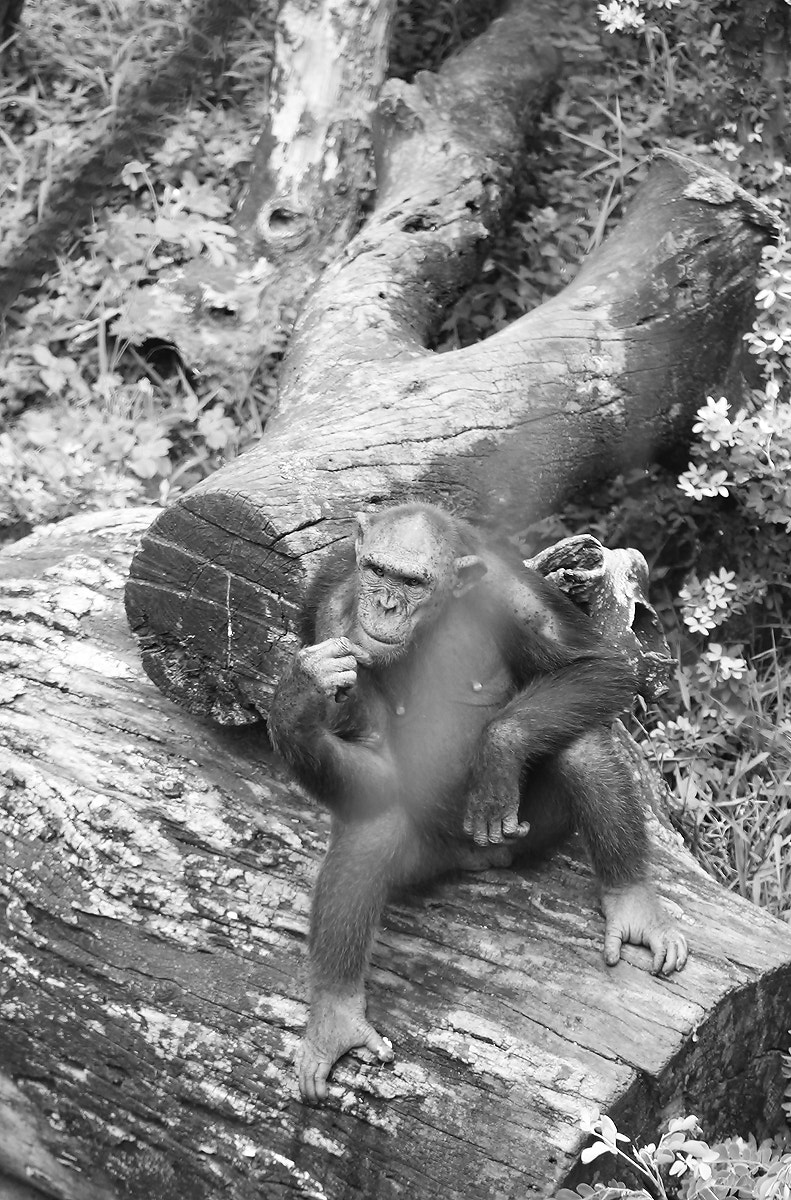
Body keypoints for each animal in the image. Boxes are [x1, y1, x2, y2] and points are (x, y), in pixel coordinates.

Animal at [267, 503, 687, 1103]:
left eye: (412, 582)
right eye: (375, 570)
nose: (385, 604)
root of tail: (472, 857)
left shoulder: (514, 594)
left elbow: (597, 665)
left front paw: (498, 750)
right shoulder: (334, 619)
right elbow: (377, 764)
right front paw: (299, 698)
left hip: (532, 829)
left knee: (583, 743)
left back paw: (632, 902)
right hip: (423, 852)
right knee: (372, 827)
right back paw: (337, 1016)